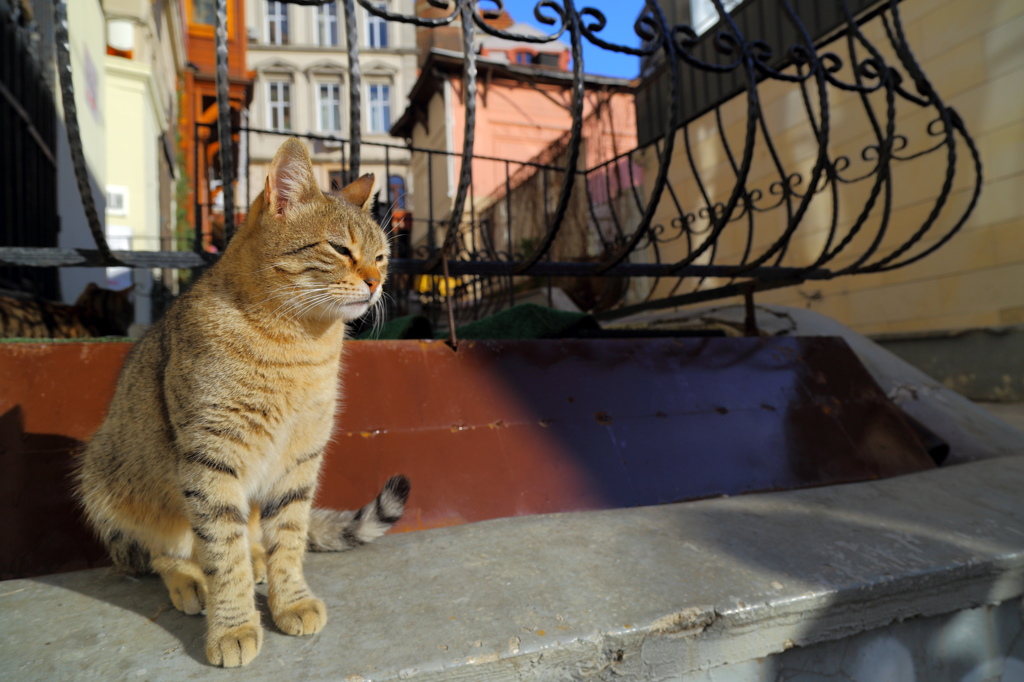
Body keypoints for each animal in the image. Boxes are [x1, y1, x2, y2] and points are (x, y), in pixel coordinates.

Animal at [74, 137, 409, 663]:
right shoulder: (210, 459)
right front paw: (231, 625)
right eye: (340, 248)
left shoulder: (299, 459)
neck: (299, 346)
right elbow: (220, 552)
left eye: (383, 257)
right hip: (103, 478)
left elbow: (288, 539)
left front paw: (289, 599)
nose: (377, 282)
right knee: (160, 553)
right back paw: (190, 580)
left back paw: (255, 559)